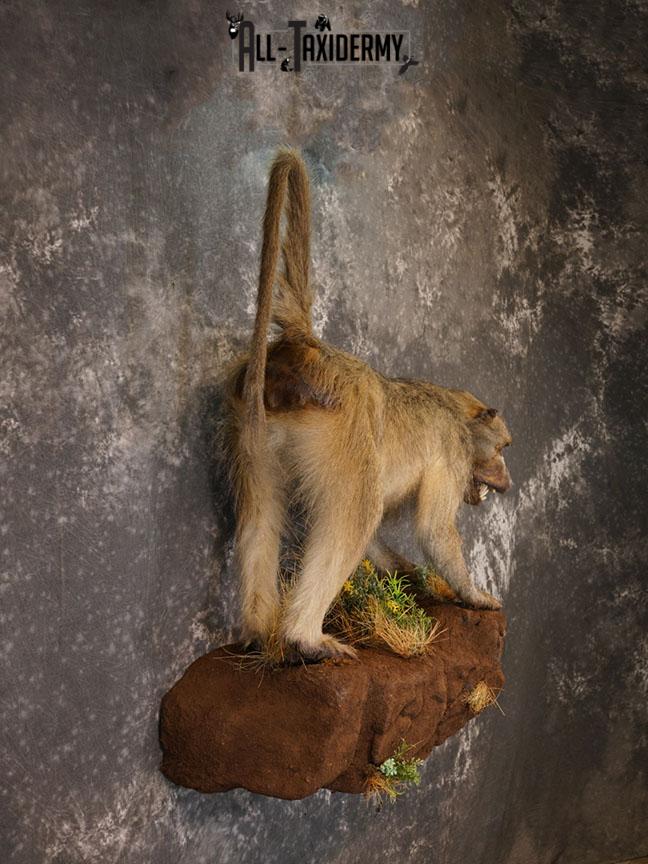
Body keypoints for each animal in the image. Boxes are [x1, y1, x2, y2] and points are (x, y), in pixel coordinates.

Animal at [225, 149, 512, 663]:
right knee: (358, 509)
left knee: (261, 510)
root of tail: (305, 349)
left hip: (253, 424)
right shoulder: (454, 450)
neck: (454, 408)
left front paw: (412, 576)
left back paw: (261, 633)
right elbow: (432, 531)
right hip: (340, 422)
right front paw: (473, 595)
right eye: (502, 449)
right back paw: (303, 637)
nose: (507, 479)